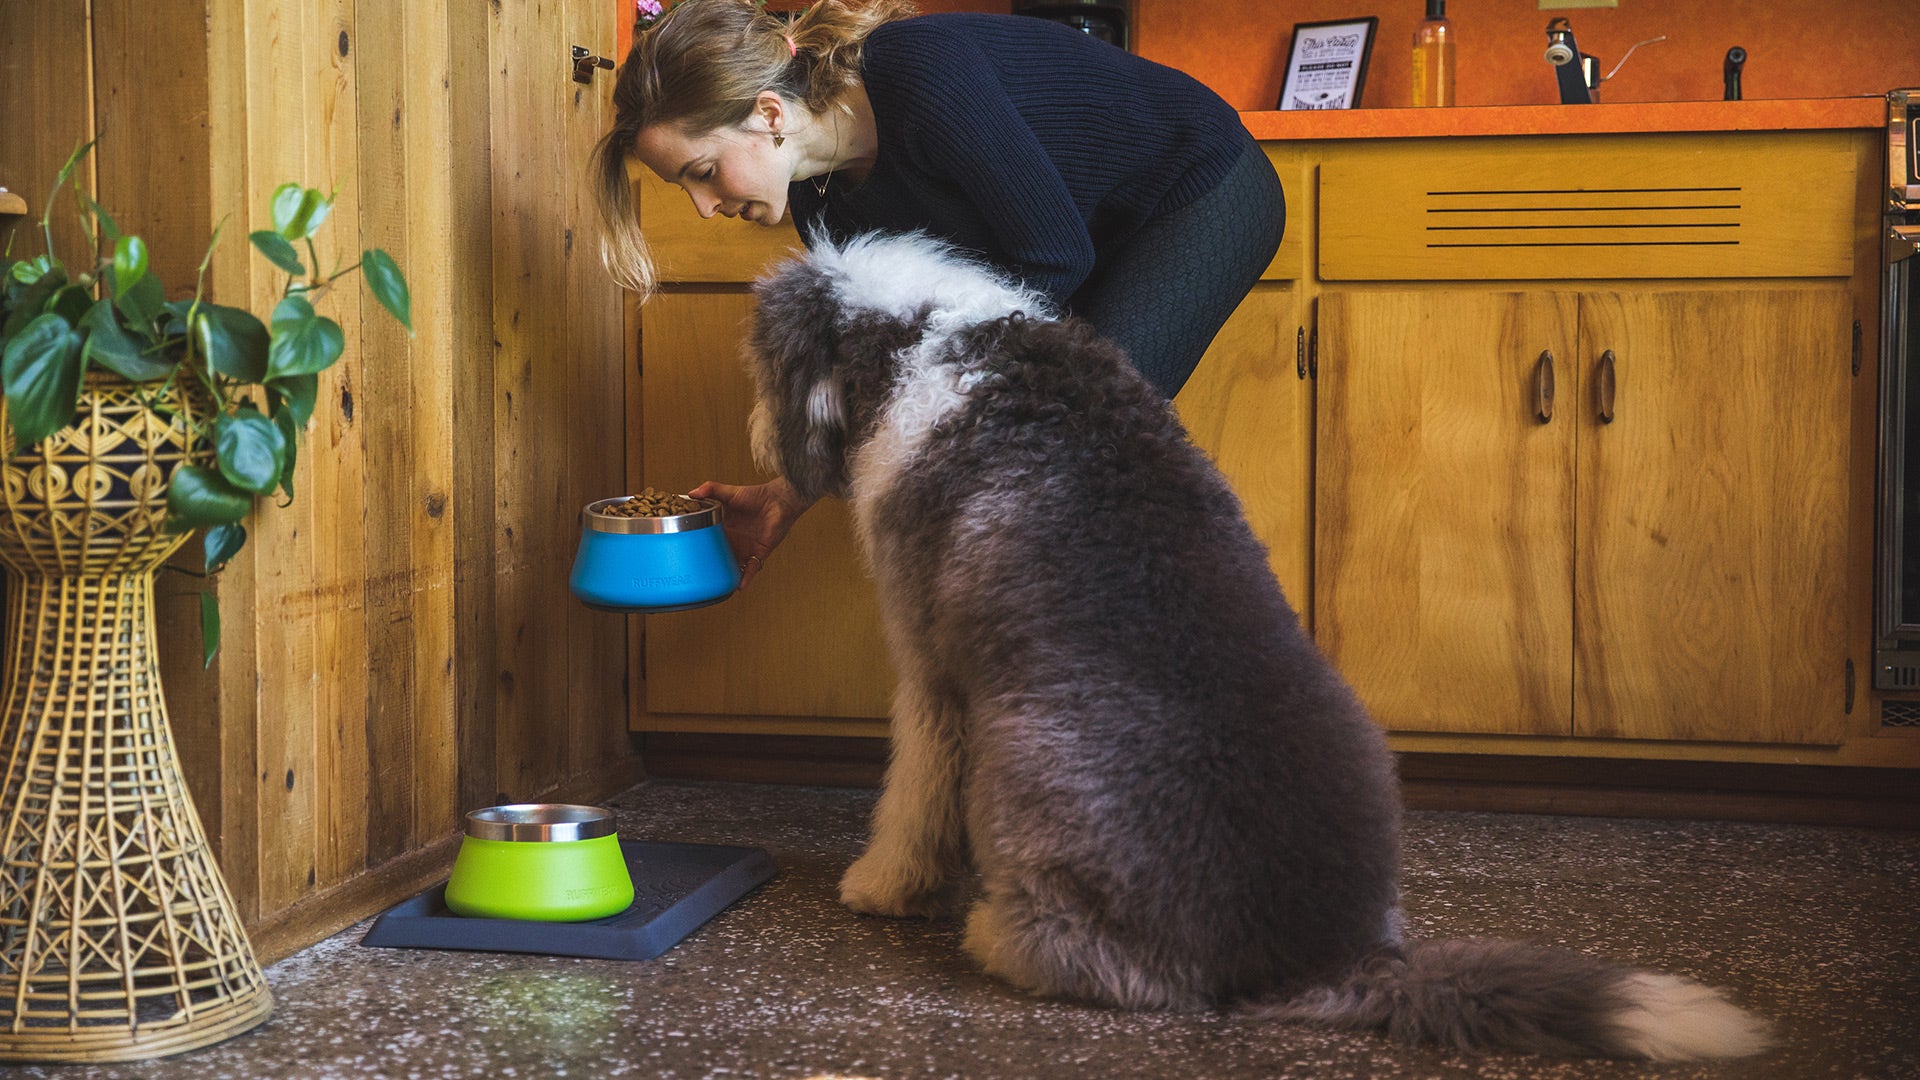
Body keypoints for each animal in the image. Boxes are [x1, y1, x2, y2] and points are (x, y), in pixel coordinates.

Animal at [744, 228, 1766, 1060]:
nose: (758, 440)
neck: (927, 334)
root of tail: (1322, 958)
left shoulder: (932, 668)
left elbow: (914, 790)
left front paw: (883, 886)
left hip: (1032, 761)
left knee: (1113, 965)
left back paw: (996, 935)